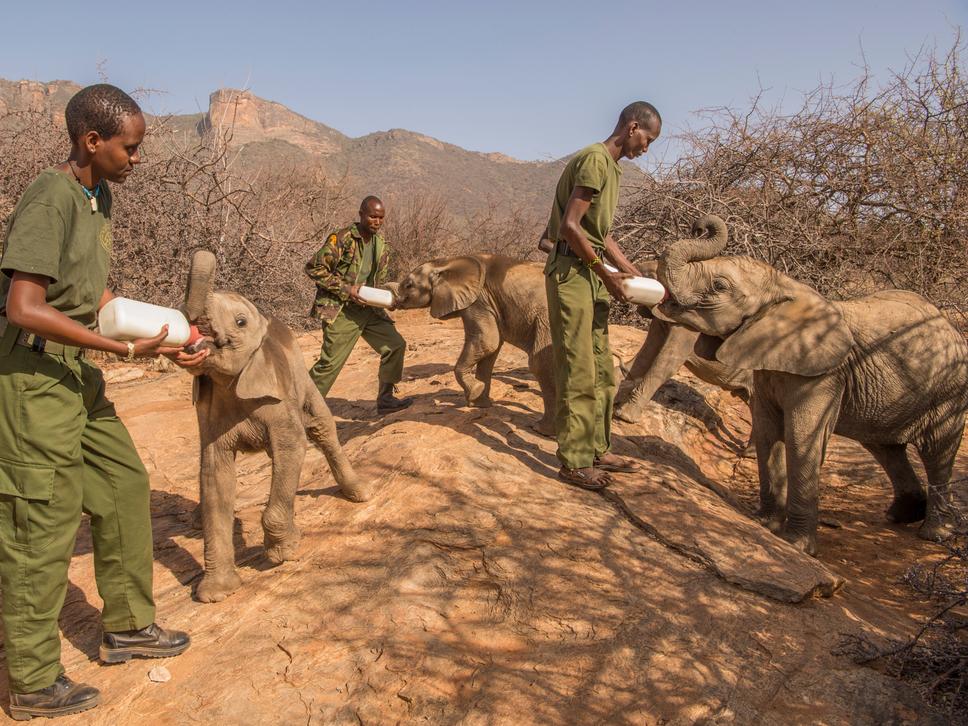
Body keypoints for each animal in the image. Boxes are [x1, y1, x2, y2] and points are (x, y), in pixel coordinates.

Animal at [183, 251, 370, 602]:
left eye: (240, 322)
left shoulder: (277, 394)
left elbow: (291, 446)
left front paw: (284, 552)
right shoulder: (210, 411)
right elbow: (215, 474)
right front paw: (215, 595)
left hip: (302, 378)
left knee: (322, 428)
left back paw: (361, 494)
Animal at [653, 215, 968, 555]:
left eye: (719, 286)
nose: (699, 226)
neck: (785, 287)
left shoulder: (823, 375)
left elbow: (801, 438)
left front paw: (795, 544)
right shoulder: (768, 366)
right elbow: (767, 432)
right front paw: (764, 523)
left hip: (949, 390)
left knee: (937, 451)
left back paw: (935, 533)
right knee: (885, 447)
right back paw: (901, 515)